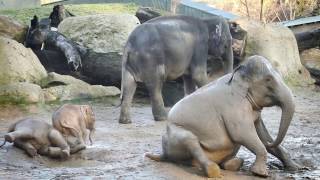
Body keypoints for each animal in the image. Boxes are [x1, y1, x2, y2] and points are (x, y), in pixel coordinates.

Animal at [146, 56, 302, 177]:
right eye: (268, 79)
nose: (272, 143)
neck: (236, 73)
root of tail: (164, 154)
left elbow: (261, 134)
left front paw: (297, 168)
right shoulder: (234, 106)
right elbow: (243, 134)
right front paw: (260, 174)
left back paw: (235, 163)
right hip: (175, 134)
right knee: (190, 140)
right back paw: (214, 172)